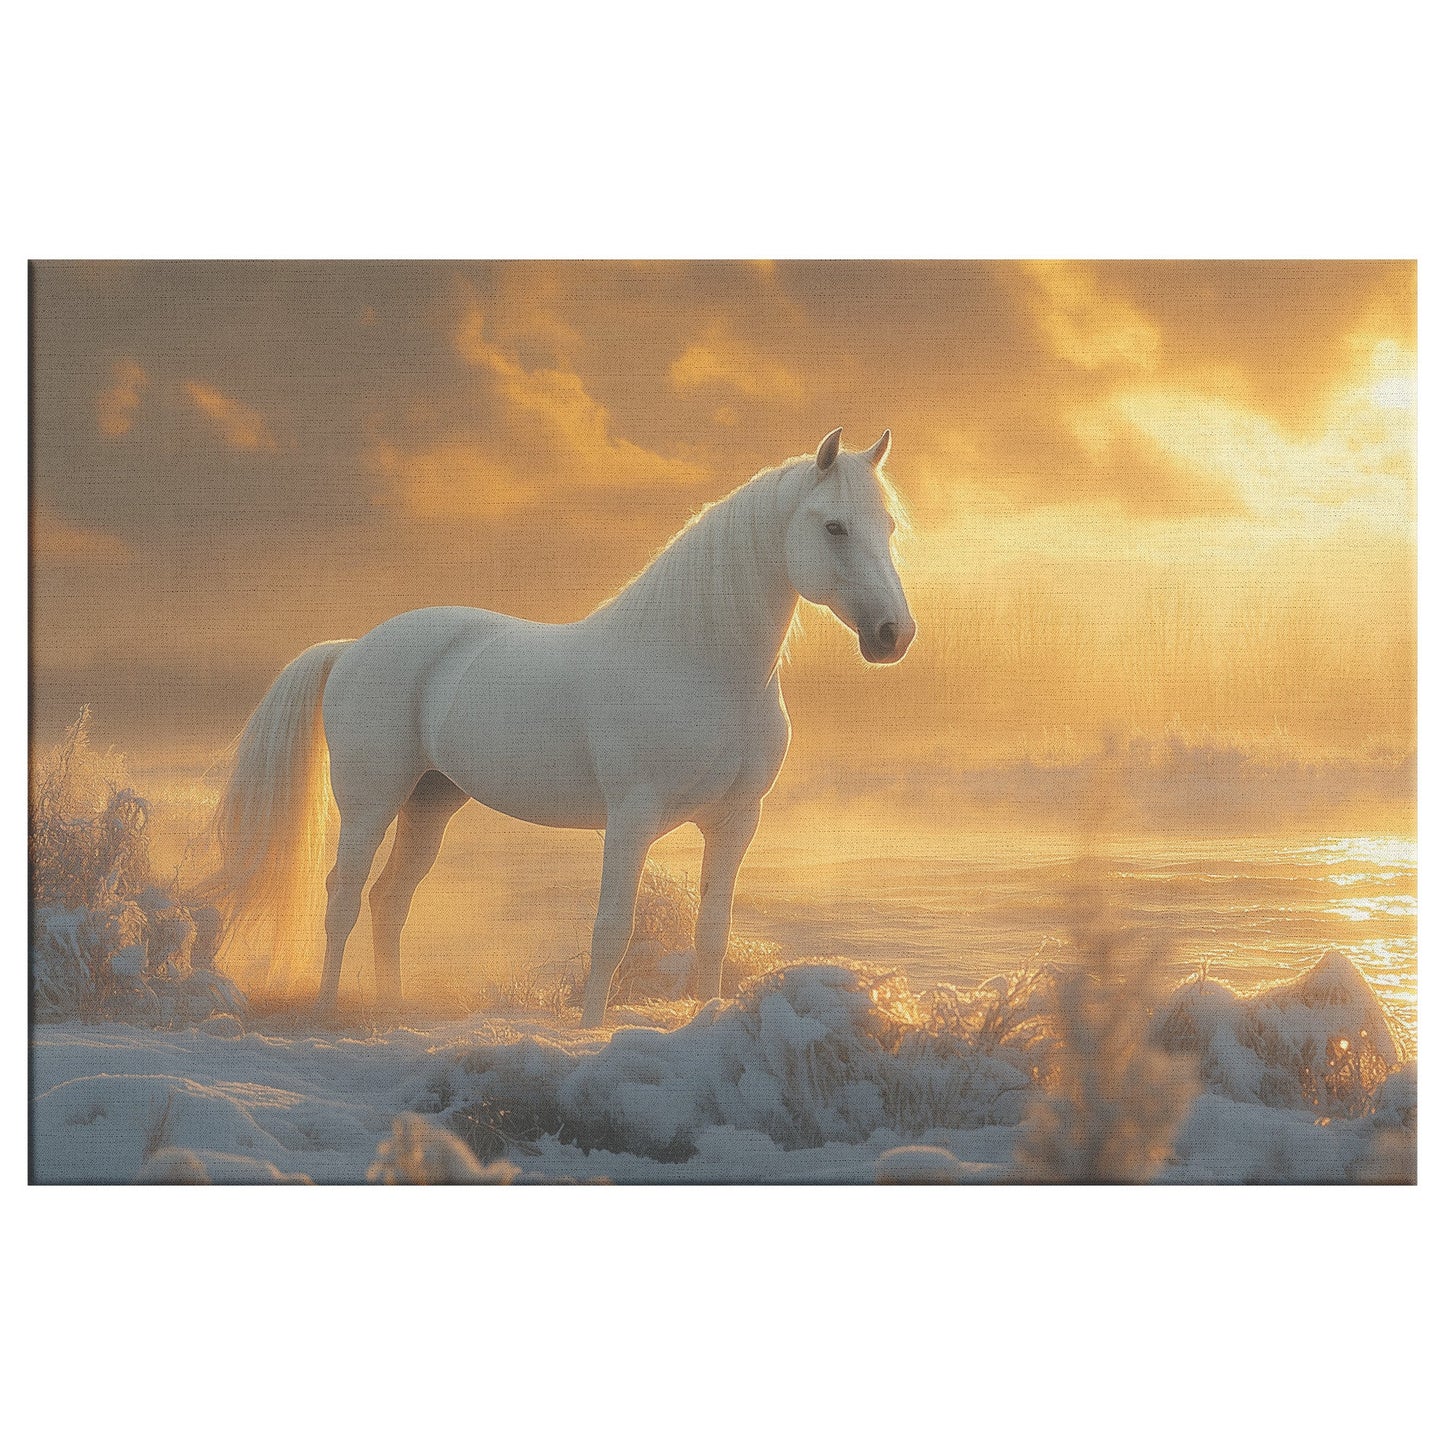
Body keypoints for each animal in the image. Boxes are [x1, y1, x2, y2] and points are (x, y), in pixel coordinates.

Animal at [210, 427, 915, 1027]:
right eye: (834, 526)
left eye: (887, 525)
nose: (894, 635)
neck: (697, 663)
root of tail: (354, 645)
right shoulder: (632, 818)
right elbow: (611, 933)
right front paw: (591, 1030)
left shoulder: (737, 819)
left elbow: (712, 933)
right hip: (371, 801)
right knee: (345, 897)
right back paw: (329, 1011)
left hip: (432, 802)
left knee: (390, 902)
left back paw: (391, 1010)